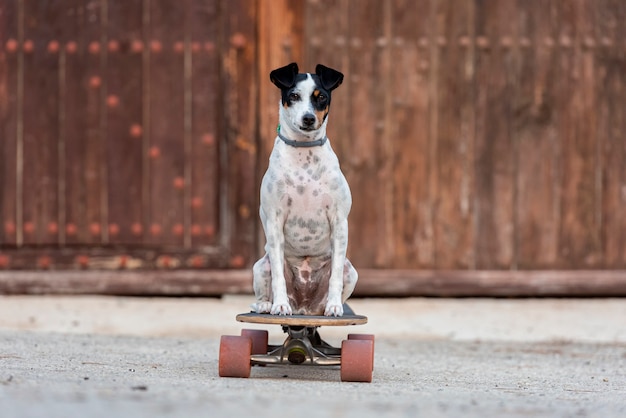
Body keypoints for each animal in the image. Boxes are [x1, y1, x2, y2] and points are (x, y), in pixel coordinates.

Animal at [249, 62, 356, 316]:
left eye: (321, 97)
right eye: (294, 96)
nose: (308, 118)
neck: (304, 153)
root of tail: (304, 308)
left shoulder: (339, 222)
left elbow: (336, 275)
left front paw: (334, 305)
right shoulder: (275, 222)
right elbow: (278, 275)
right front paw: (279, 305)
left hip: (352, 271)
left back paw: (328, 306)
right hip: (261, 266)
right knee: (264, 288)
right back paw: (266, 305)